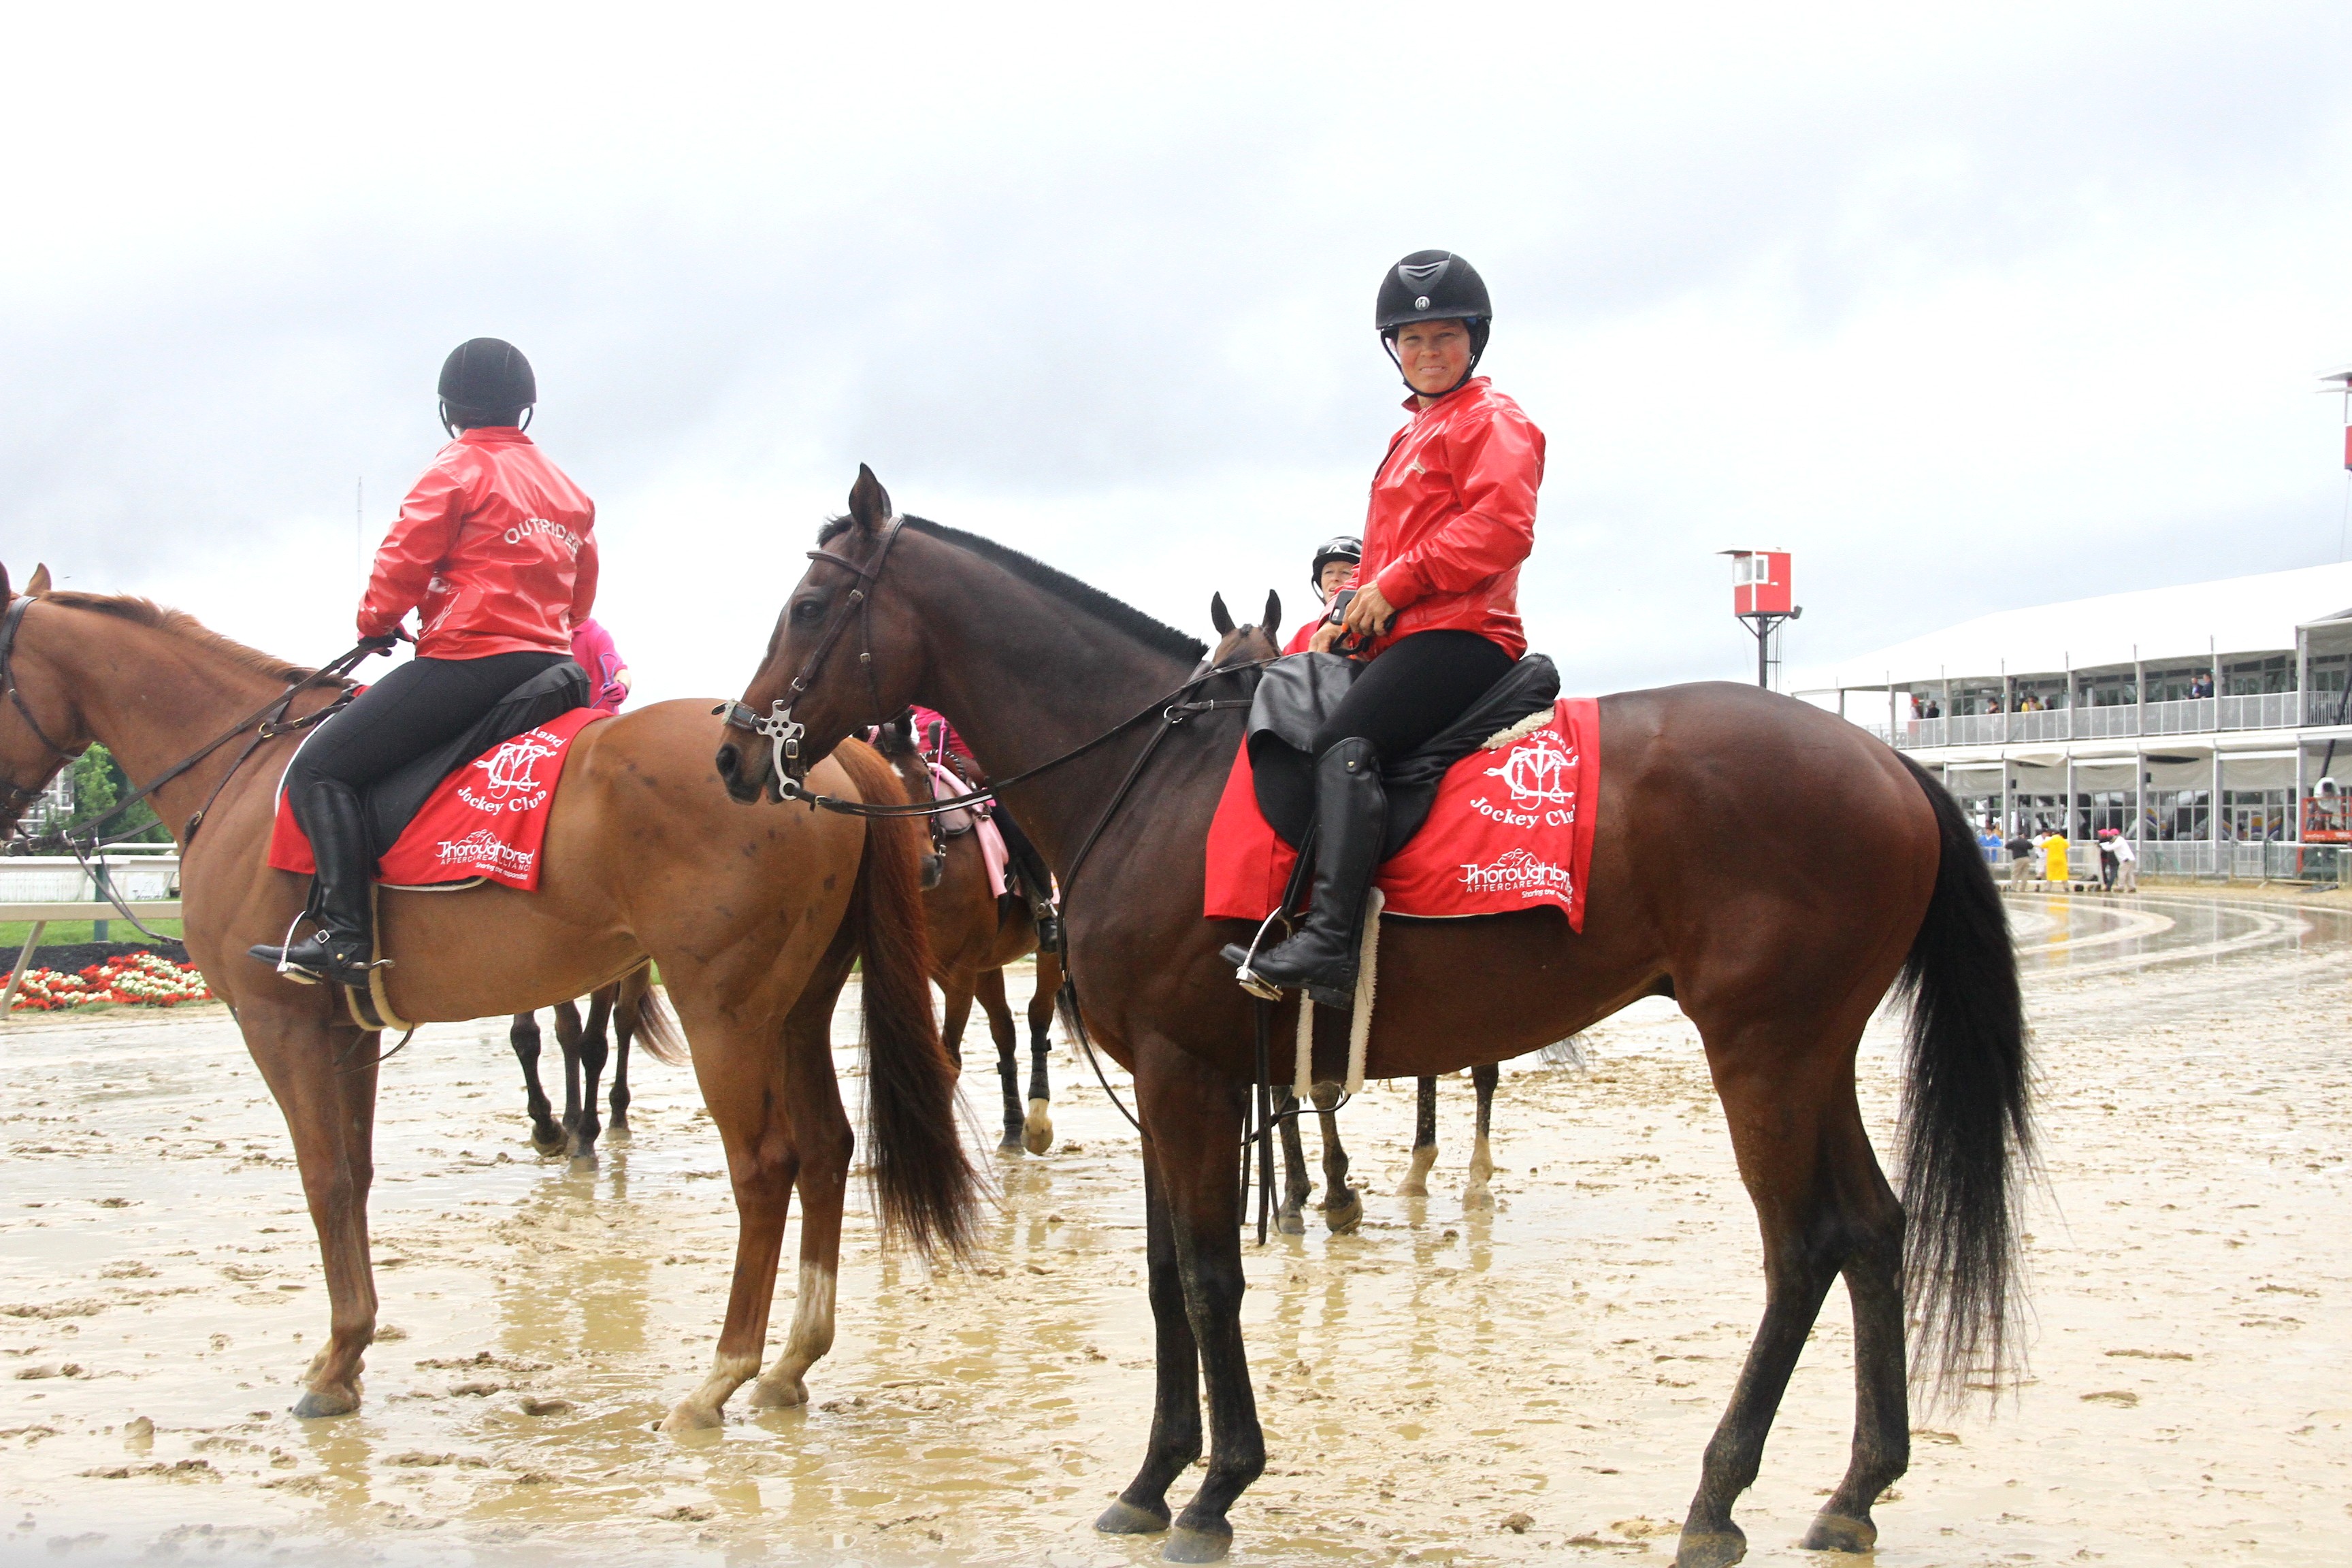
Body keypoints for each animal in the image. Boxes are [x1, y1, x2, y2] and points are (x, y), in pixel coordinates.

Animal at [507, 961, 659, 1165]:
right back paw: (571, 1123)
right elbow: (524, 1035)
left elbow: (594, 1046)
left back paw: (618, 1118)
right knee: (569, 1028)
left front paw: (583, 1140)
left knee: (625, 1018)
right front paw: (547, 1131)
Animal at [870, 713, 1061, 1153]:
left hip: (1048, 953)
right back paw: (1012, 1129)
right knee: (1004, 1031)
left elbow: (948, 1059)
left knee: (1038, 1016)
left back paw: (1037, 1122)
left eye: (923, 780)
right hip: (987, 967)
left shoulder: (960, 972)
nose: (923, 868)